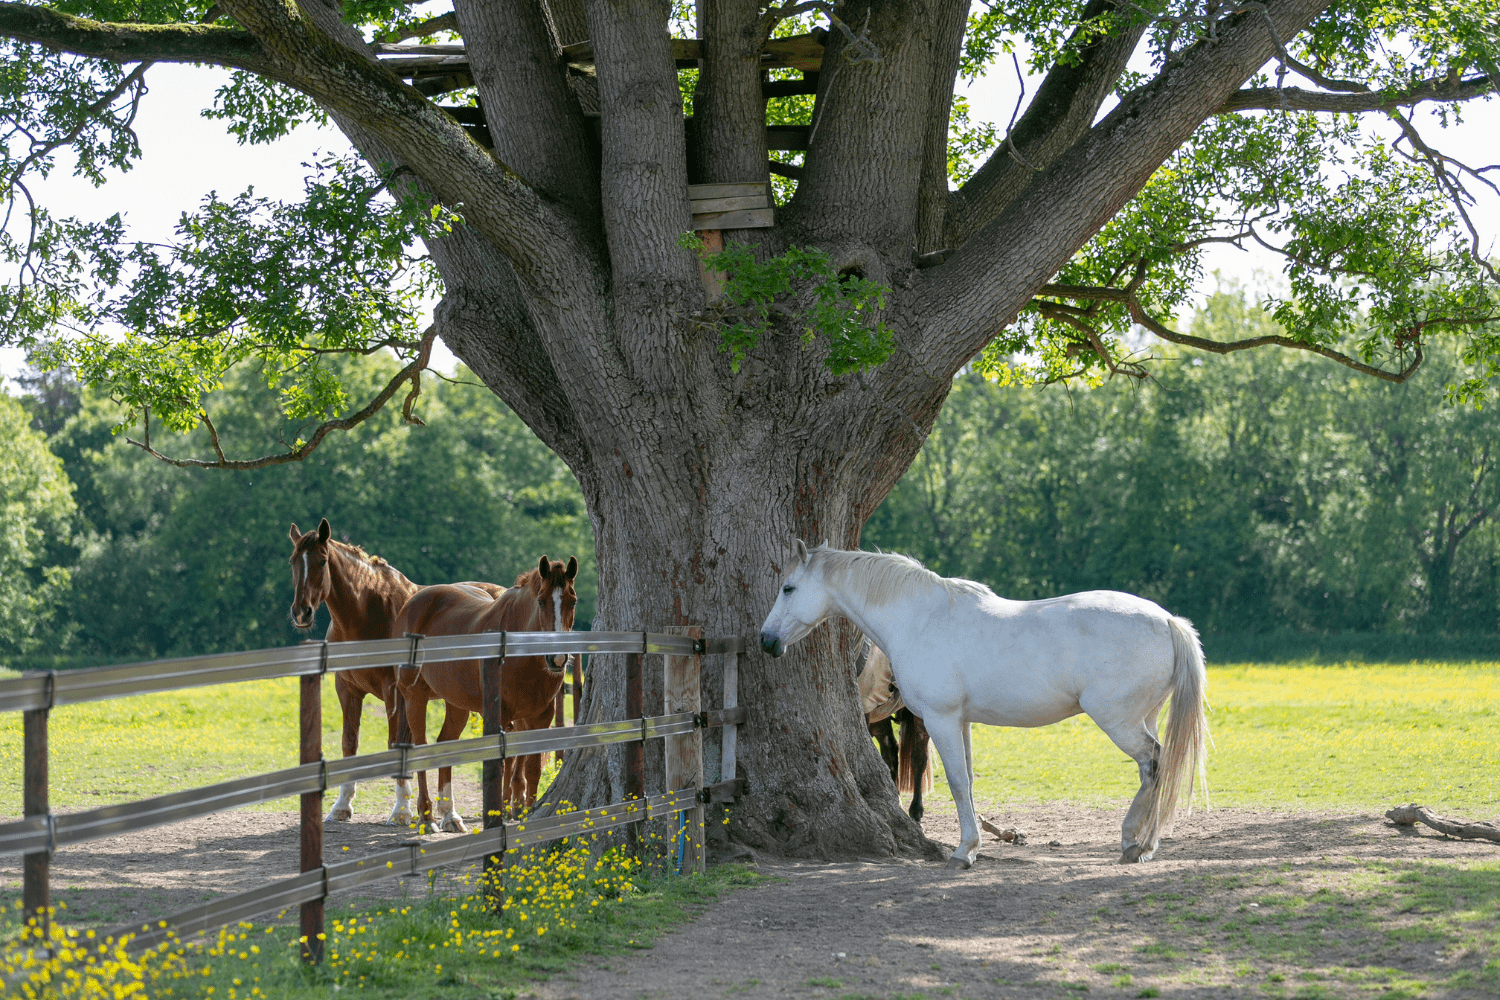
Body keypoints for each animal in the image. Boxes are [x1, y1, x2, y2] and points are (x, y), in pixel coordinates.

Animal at [287, 518, 502, 826]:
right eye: (293, 561)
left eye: (322, 560)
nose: (301, 613)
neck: (366, 614)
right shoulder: (347, 690)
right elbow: (349, 743)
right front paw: (342, 805)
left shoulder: (394, 693)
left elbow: (395, 743)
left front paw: (401, 808)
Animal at [393, 555, 579, 832]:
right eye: (541, 601)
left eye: (572, 601)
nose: (557, 659)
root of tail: (411, 604)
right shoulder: (500, 716)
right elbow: (499, 766)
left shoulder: (541, 716)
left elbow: (532, 767)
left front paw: (528, 813)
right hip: (415, 697)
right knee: (422, 747)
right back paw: (427, 817)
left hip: (456, 705)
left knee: (444, 744)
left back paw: (450, 815)